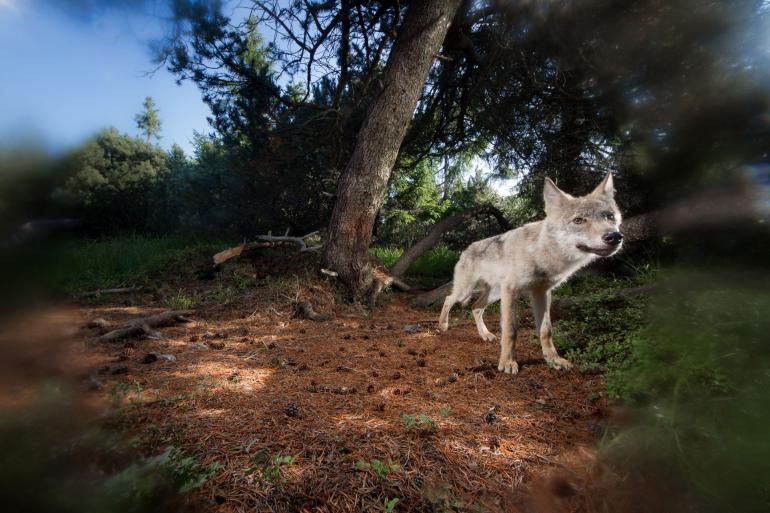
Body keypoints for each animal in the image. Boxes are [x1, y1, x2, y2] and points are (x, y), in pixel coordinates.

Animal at [436, 174, 620, 374]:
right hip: (467, 291)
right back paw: (443, 325)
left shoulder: (542, 293)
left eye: (610, 217)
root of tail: (466, 249)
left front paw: (553, 360)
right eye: (578, 220)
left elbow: (546, 331)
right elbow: (510, 330)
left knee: (475, 307)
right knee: (448, 299)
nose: (615, 236)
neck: (540, 254)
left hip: (494, 294)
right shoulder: (511, 291)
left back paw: (485, 334)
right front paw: (508, 363)